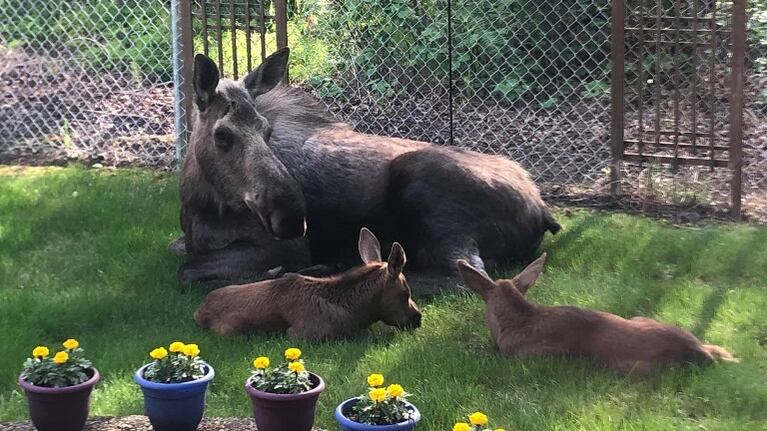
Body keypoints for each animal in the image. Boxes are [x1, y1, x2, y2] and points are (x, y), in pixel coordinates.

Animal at [177, 47, 560, 290]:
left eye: (266, 130)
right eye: (222, 135)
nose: (290, 217)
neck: (200, 201)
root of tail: (542, 210)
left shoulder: (284, 248)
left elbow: (190, 269)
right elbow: (181, 251)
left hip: (426, 189)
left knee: (466, 278)